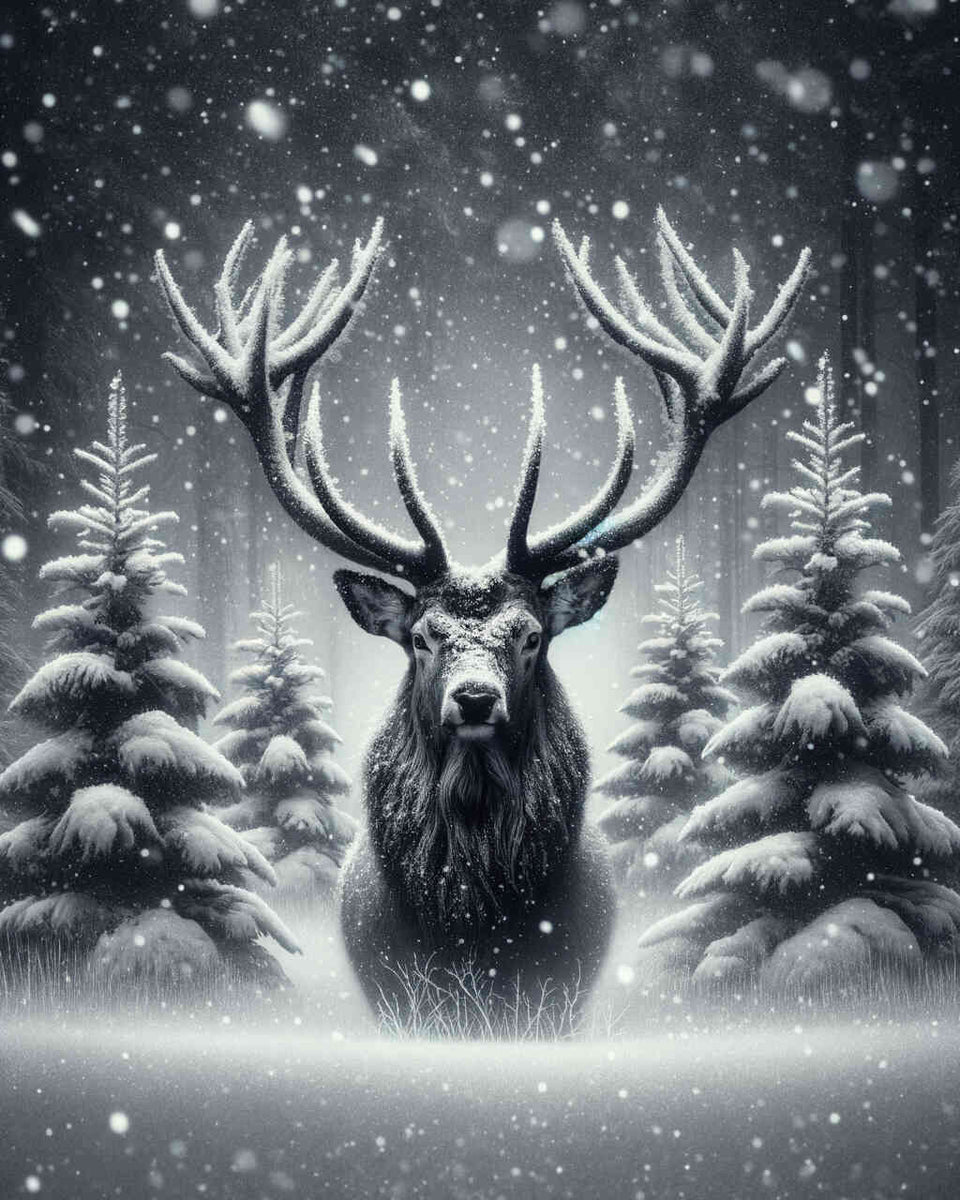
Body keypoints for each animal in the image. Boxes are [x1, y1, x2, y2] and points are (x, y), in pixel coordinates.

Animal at [155, 208, 809, 1027]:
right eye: (421, 638)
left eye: (531, 636)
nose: (473, 698)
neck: (472, 930)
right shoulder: (394, 994)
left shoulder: (558, 996)